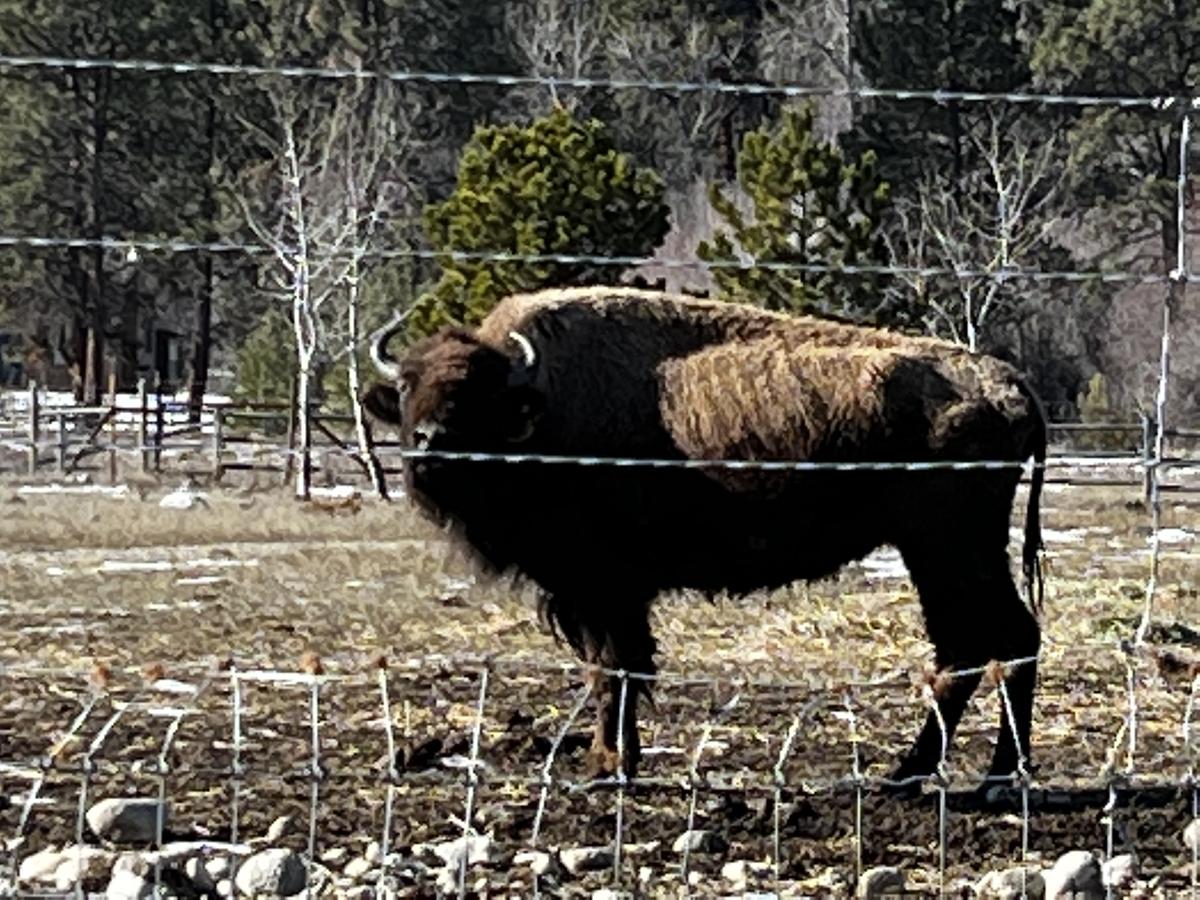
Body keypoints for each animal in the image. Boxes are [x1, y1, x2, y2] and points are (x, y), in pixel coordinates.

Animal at [363, 286, 1046, 789]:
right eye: (408, 385)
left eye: (476, 394)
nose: (429, 442)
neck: (539, 404)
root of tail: (1010, 384)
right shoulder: (599, 596)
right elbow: (615, 670)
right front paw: (614, 760)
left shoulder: (603, 588)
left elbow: (613, 671)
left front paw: (607, 767)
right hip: (943, 551)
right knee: (979, 647)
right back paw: (941, 773)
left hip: (947, 548)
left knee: (995, 641)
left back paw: (965, 776)